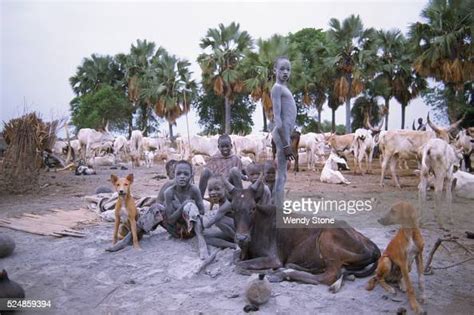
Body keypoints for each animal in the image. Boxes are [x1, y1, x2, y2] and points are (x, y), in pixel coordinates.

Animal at [226, 178, 382, 294]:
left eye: (252, 208)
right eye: (233, 209)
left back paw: (281, 274)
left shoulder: (273, 258)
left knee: (330, 275)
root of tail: (373, 246)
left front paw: (269, 270)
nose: (241, 238)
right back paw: (289, 268)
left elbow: (238, 265)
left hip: (327, 240)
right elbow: (235, 259)